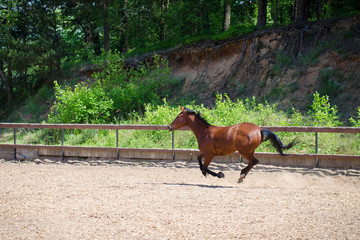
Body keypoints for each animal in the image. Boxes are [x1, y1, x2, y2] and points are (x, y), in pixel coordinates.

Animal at [169, 106, 298, 182]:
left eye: (179, 116)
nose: (169, 126)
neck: (204, 132)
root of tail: (259, 130)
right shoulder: (205, 153)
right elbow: (199, 160)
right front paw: (207, 173)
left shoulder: (210, 155)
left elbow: (205, 166)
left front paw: (219, 174)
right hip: (249, 151)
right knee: (253, 162)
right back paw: (242, 175)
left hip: (244, 151)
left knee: (254, 161)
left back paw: (241, 176)